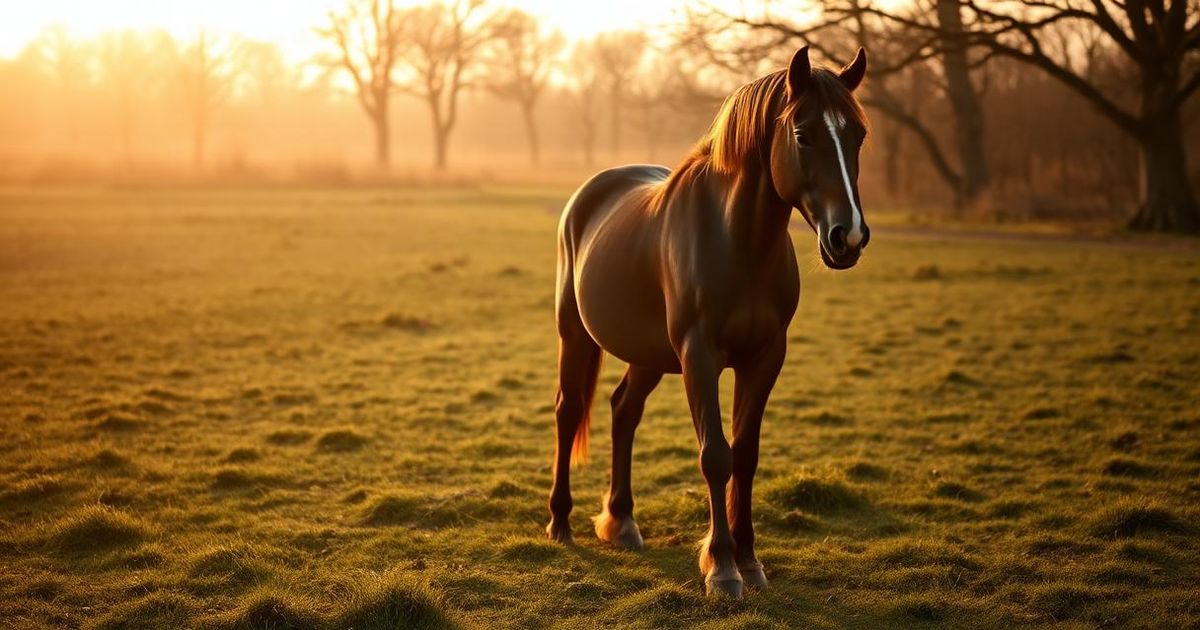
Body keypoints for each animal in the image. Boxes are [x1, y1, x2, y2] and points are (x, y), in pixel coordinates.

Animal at [547, 46, 871, 599]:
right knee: (569, 413)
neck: (738, 242)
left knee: (623, 410)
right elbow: (716, 456)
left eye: (859, 135)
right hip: (576, 336)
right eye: (803, 133)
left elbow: (746, 455)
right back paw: (561, 522)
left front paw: (750, 561)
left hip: (649, 354)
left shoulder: (765, 357)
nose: (847, 237)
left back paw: (622, 520)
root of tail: (590, 193)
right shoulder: (699, 357)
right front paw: (721, 567)